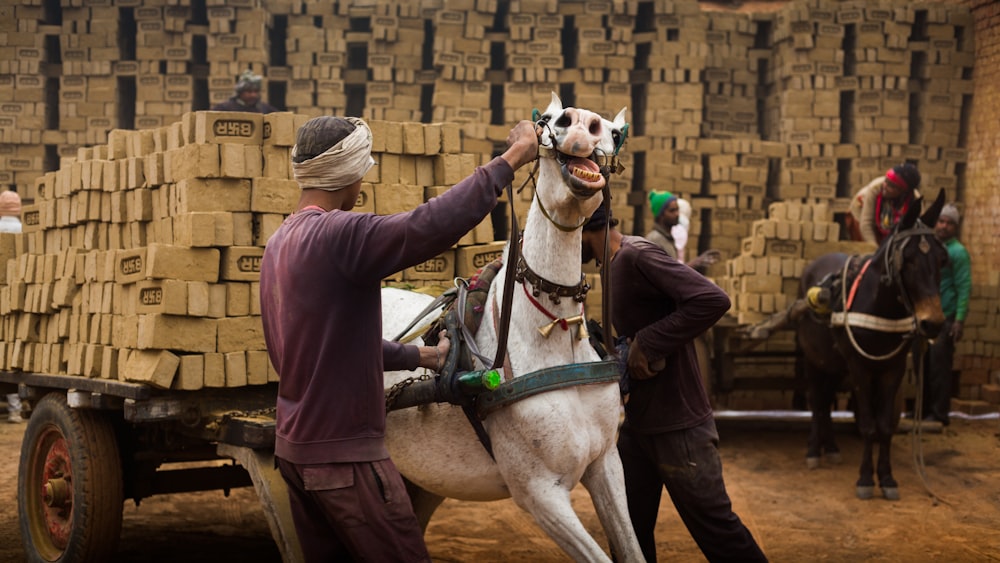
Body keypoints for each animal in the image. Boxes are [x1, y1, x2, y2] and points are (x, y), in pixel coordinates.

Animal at [382, 94, 640, 560]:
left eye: (613, 133)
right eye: (550, 121)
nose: (582, 125)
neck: (552, 334)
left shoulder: (605, 464)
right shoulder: (538, 493)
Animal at [796, 191, 944, 502]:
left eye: (943, 259)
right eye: (908, 260)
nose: (933, 323)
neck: (880, 307)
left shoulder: (892, 369)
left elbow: (885, 425)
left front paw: (887, 478)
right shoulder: (859, 369)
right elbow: (867, 424)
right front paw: (865, 479)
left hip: (835, 364)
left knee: (826, 402)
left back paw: (831, 447)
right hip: (814, 359)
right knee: (817, 402)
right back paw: (815, 450)